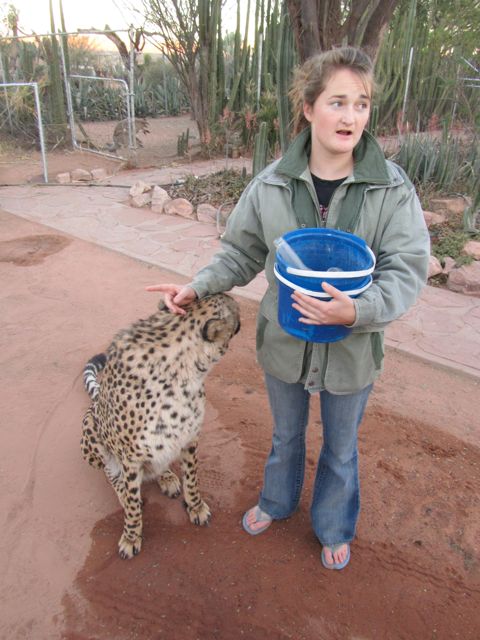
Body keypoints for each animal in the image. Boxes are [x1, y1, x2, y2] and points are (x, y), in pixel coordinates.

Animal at [81, 296, 244, 560]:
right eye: (235, 312)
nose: (238, 303)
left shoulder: (189, 438)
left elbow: (192, 478)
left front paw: (196, 506)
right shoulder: (129, 458)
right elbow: (133, 506)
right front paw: (131, 536)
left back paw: (166, 477)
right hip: (91, 431)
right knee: (109, 472)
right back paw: (123, 492)